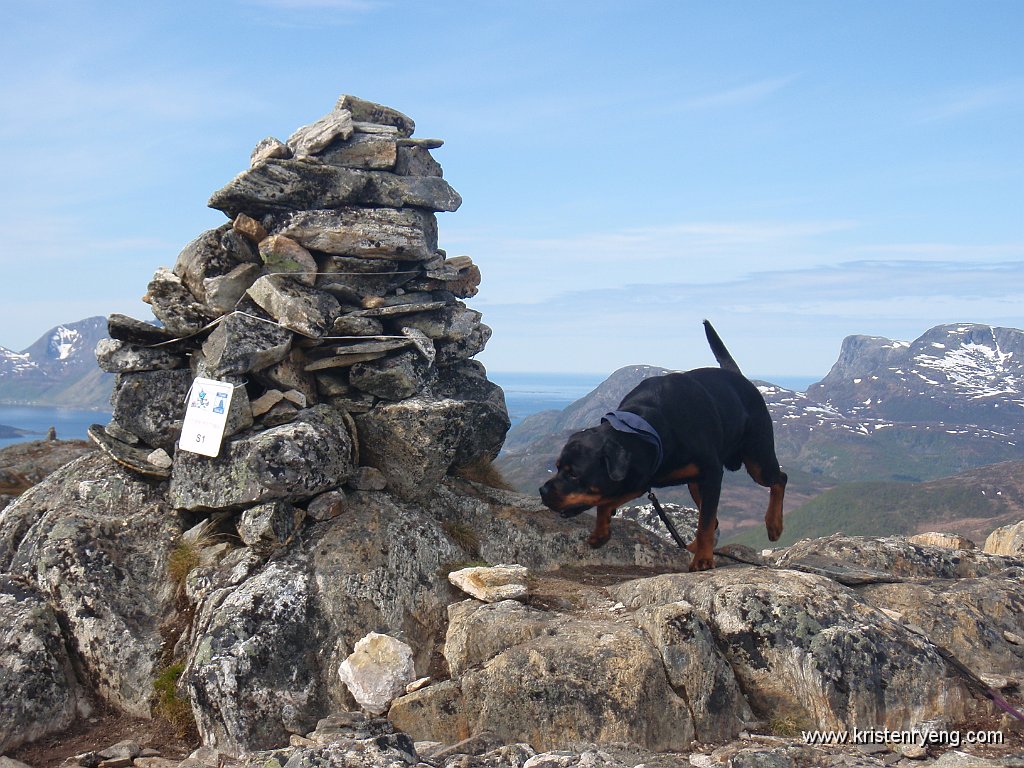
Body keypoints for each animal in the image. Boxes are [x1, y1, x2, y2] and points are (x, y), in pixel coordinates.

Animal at [540, 319, 786, 573]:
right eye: (557, 467)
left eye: (574, 474)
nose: (543, 491)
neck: (646, 428)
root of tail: (737, 377)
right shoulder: (639, 479)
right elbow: (605, 503)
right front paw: (601, 532)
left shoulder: (711, 473)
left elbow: (705, 523)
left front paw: (703, 559)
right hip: (696, 483)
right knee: (714, 515)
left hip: (758, 460)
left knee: (779, 479)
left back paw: (773, 524)